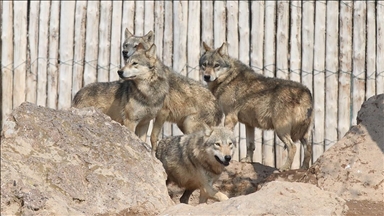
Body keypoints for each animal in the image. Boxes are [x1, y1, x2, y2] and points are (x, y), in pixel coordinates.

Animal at [123, 29, 224, 157]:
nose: (124, 53)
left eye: (136, 46)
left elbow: (153, 137)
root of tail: (219, 106)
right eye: (126, 45)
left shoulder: (162, 113)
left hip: (189, 125)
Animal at [200, 41, 314, 170]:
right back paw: (304, 168)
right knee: (309, 148)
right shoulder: (249, 124)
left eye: (216, 65)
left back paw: (284, 168)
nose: (206, 76)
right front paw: (248, 161)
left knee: (293, 147)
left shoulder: (230, 117)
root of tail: (306, 92)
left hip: (280, 130)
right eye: (204, 65)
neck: (229, 79)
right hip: (303, 134)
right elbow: (250, 145)